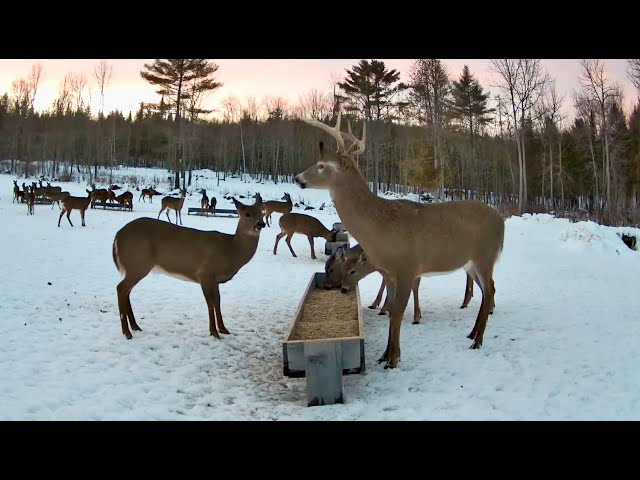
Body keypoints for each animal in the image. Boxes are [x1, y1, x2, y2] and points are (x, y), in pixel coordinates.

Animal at [111, 197, 266, 340]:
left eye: (261, 212)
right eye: (247, 214)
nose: (261, 224)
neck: (231, 250)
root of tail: (117, 236)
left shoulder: (215, 280)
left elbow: (218, 302)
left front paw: (223, 329)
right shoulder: (205, 274)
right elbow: (210, 303)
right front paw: (214, 332)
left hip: (135, 266)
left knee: (127, 291)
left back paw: (135, 327)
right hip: (138, 262)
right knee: (121, 288)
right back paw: (127, 332)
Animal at [296, 114, 504, 370]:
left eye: (322, 165)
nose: (298, 178)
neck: (380, 227)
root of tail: (501, 219)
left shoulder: (407, 268)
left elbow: (397, 313)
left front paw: (393, 359)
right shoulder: (390, 272)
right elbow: (391, 309)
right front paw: (385, 355)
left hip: (485, 256)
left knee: (490, 290)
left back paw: (477, 341)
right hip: (471, 263)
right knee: (488, 291)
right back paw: (472, 334)